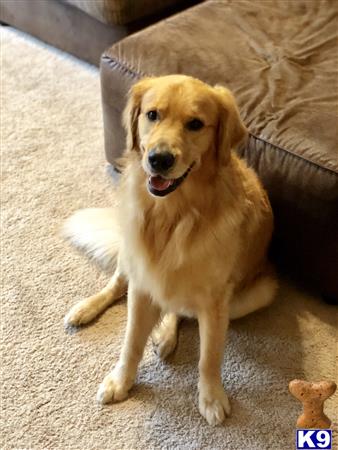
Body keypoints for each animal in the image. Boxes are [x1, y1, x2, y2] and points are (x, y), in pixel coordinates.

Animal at [63, 74, 278, 426]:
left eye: (196, 124)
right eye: (152, 115)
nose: (159, 159)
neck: (173, 215)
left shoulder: (216, 302)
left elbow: (209, 356)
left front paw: (211, 397)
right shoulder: (141, 283)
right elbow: (130, 342)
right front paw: (121, 381)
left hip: (257, 294)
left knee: (178, 309)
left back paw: (165, 334)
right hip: (131, 253)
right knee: (116, 284)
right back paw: (86, 308)